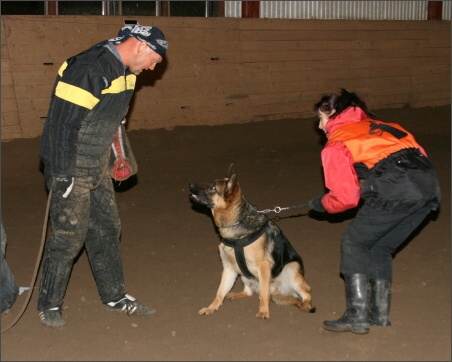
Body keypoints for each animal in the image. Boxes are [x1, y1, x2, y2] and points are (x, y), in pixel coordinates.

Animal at [188, 164, 314, 320]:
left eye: (212, 187)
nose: (190, 184)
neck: (237, 225)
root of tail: (278, 291)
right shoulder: (229, 268)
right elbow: (219, 292)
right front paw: (211, 308)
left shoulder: (263, 267)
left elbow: (263, 293)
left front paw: (264, 311)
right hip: (243, 275)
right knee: (249, 292)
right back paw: (236, 295)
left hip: (291, 268)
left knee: (305, 294)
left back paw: (306, 304)